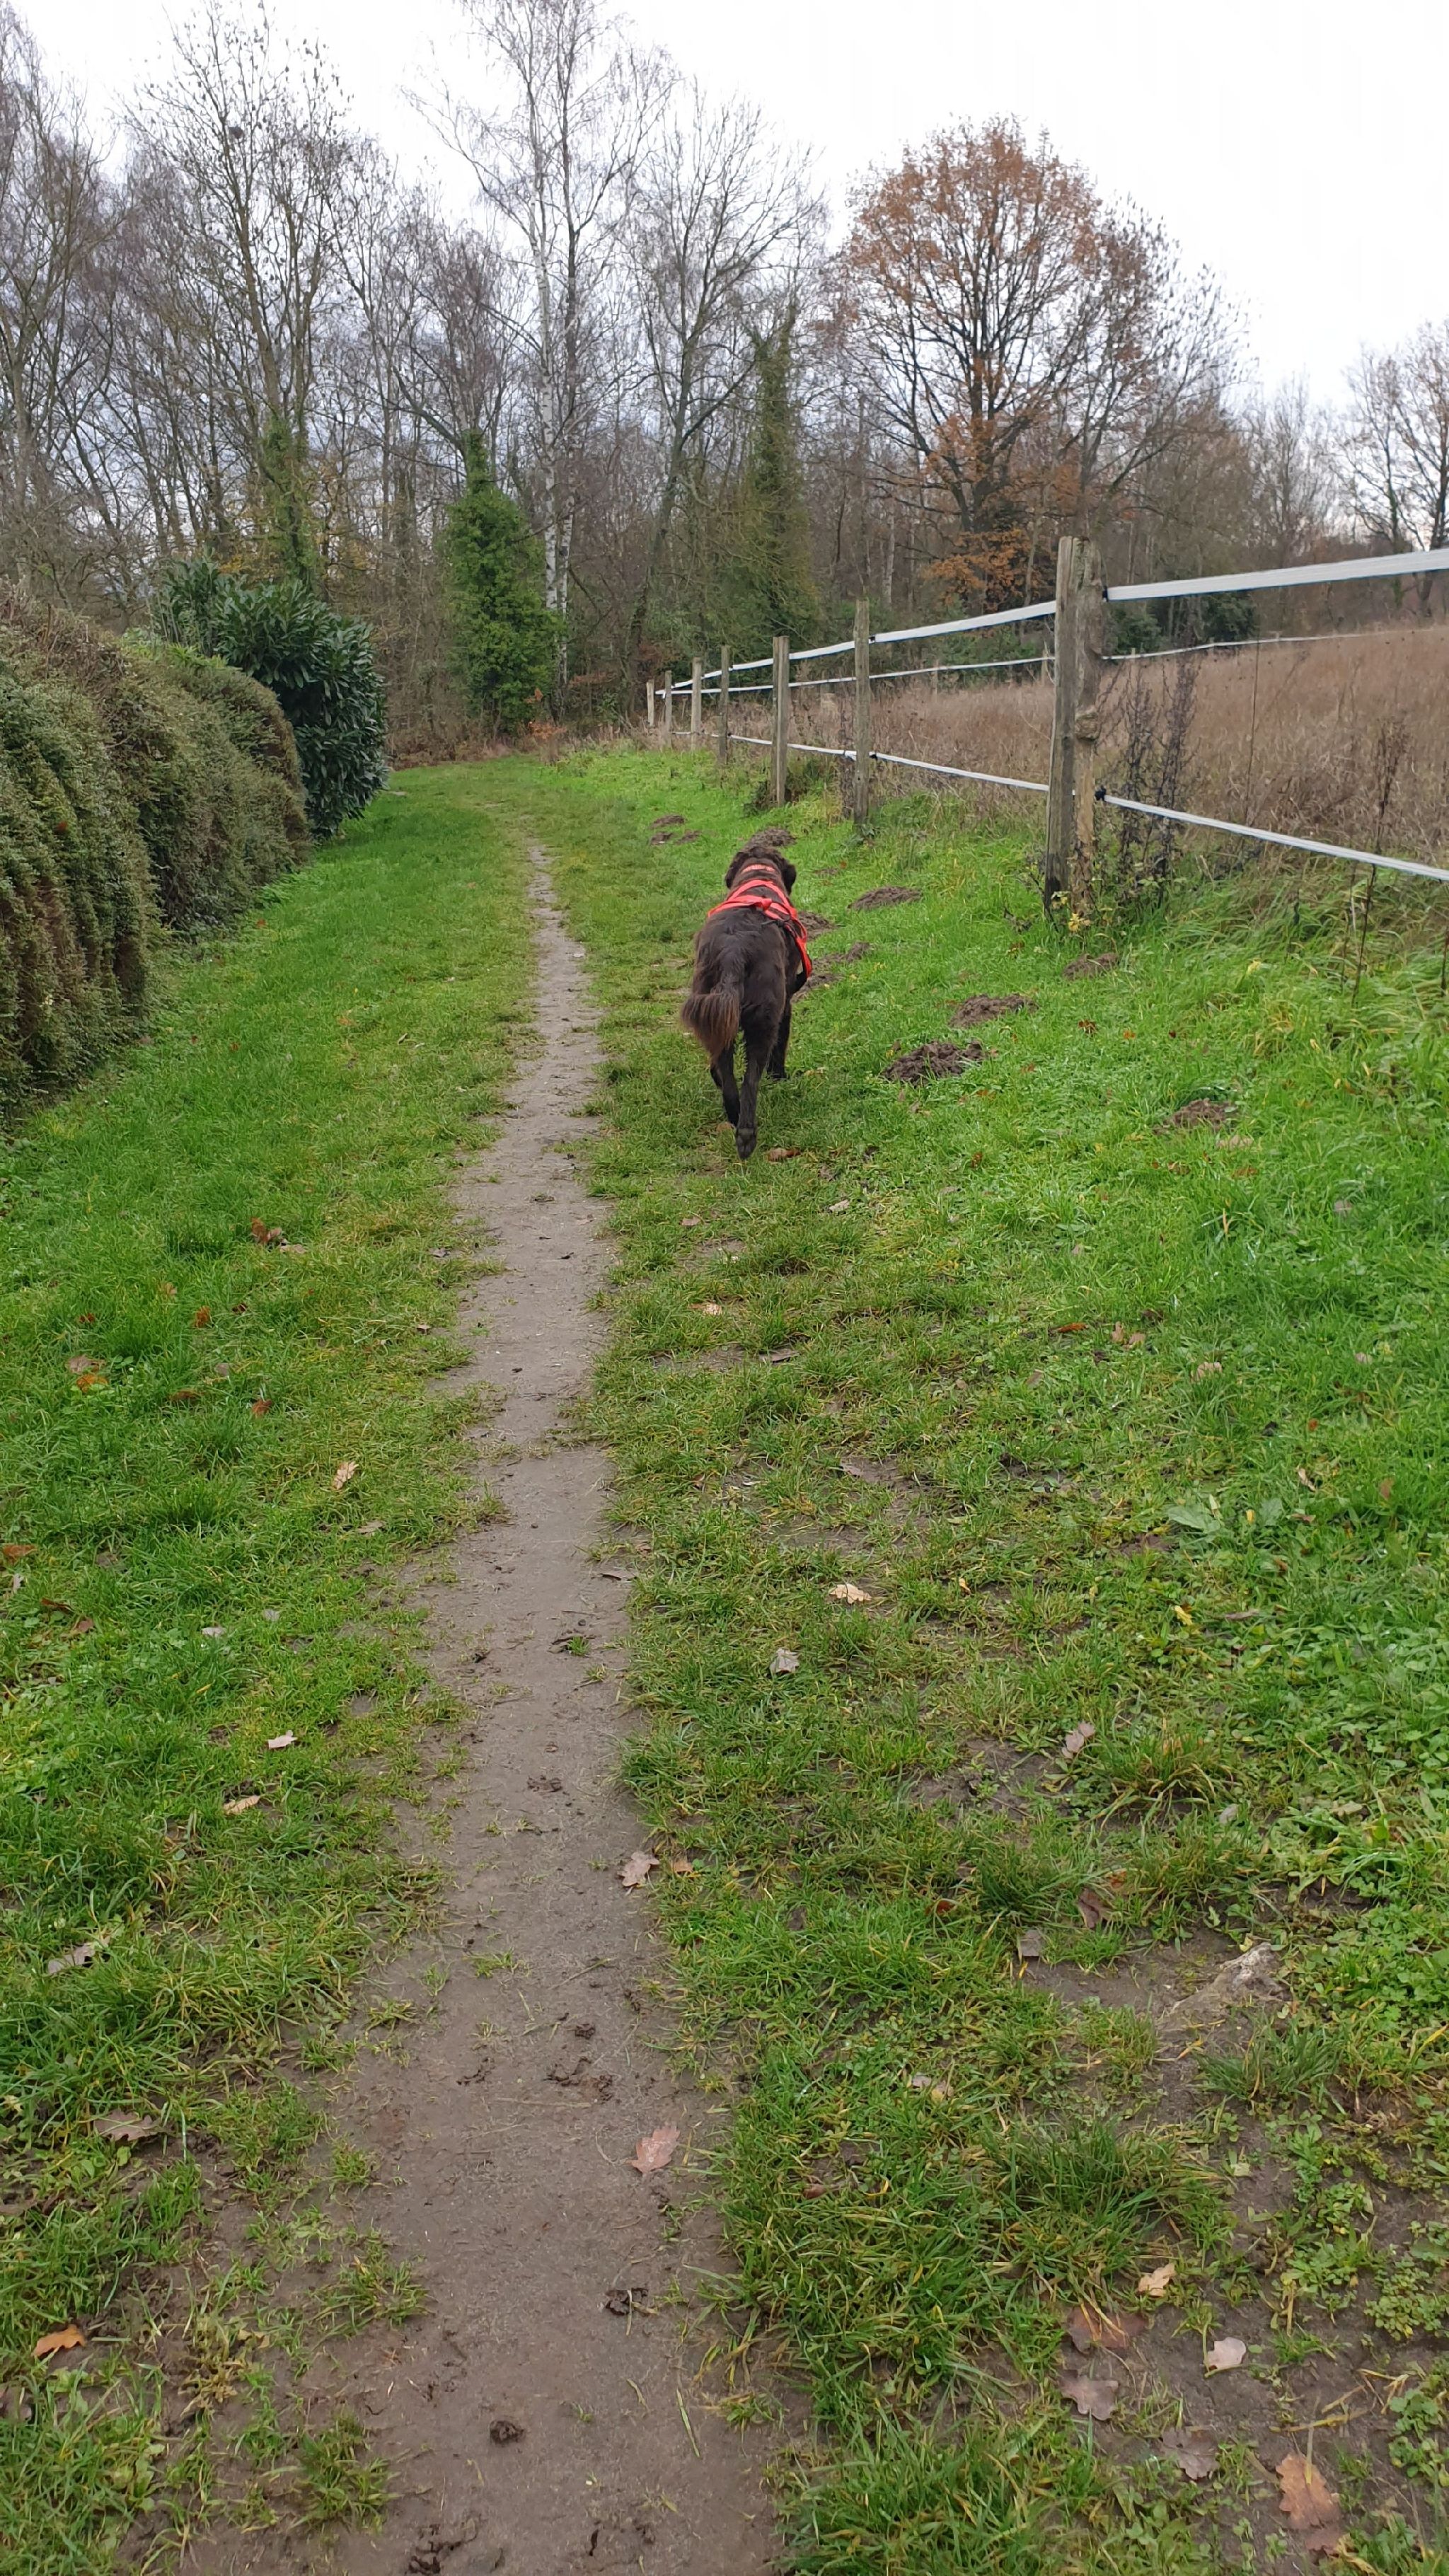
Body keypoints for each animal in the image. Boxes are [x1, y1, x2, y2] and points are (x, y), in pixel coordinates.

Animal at [680, 830, 811, 1160]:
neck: (758, 876)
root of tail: (734, 951)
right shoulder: (785, 1004)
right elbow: (782, 1045)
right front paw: (780, 1075)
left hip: (712, 1004)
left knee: (726, 1073)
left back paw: (733, 1113)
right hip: (765, 1017)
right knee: (751, 1079)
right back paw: (747, 1136)